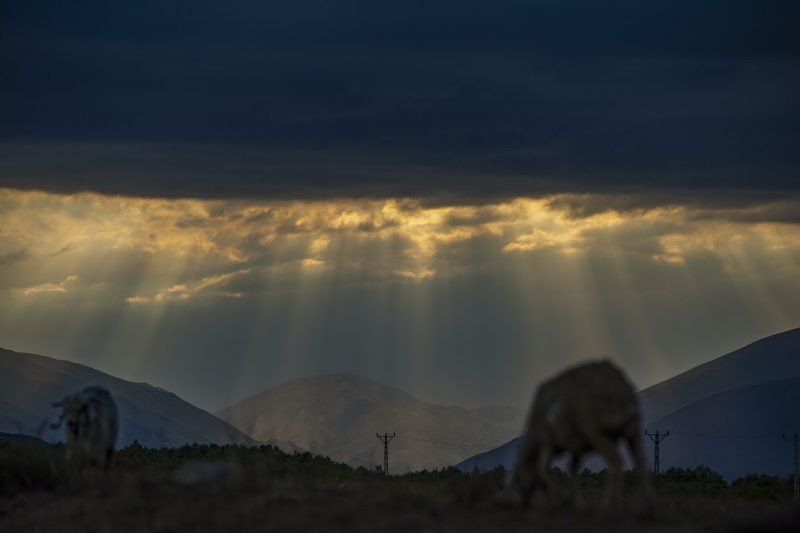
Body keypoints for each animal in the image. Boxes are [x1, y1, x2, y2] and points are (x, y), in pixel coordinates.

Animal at [516, 360, 652, 510]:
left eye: (518, 476)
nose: (523, 501)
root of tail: (621, 387)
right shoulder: (577, 447)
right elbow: (571, 469)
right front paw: (576, 502)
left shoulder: (548, 442)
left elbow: (544, 469)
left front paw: (562, 498)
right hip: (632, 429)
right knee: (641, 461)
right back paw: (649, 504)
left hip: (597, 432)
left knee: (616, 460)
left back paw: (608, 504)